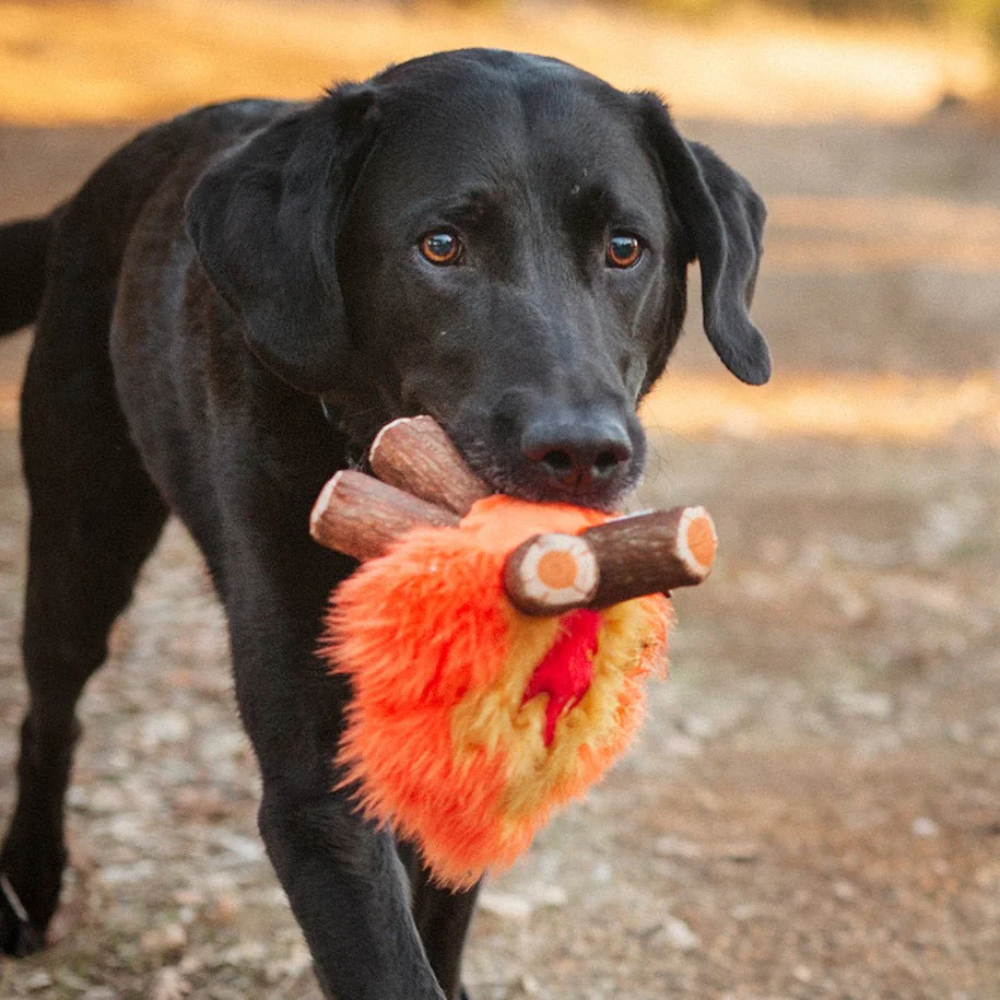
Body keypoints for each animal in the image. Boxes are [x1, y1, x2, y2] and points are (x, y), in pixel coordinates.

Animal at [0, 50, 764, 1000]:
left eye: (625, 248)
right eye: (441, 245)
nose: (585, 450)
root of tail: (88, 192)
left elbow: (438, 899)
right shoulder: (316, 792)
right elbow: (386, 958)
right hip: (84, 533)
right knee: (51, 713)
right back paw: (27, 888)